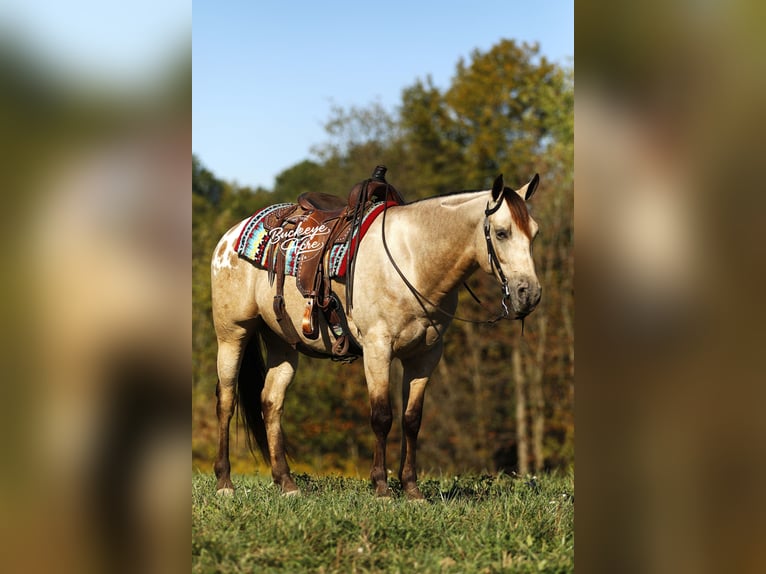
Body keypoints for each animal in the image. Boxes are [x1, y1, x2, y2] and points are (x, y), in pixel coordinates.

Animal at [210, 172, 542, 499]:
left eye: (534, 234)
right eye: (502, 233)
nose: (529, 294)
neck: (413, 261)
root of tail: (229, 237)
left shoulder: (425, 355)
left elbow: (412, 419)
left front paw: (411, 488)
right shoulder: (378, 348)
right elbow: (382, 416)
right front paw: (381, 486)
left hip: (283, 343)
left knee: (271, 402)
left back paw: (286, 483)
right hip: (233, 334)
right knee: (227, 401)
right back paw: (225, 482)